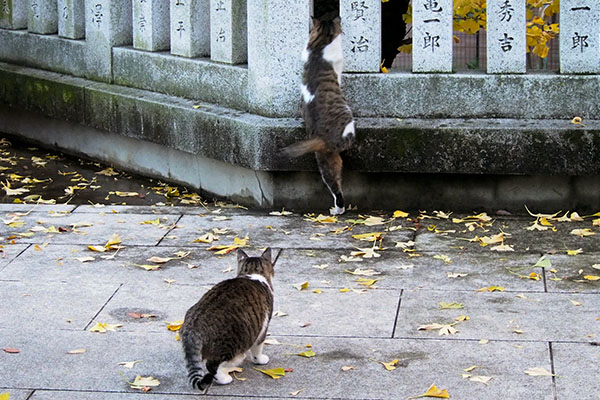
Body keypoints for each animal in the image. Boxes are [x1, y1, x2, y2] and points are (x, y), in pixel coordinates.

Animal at [282, 14, 356, 216]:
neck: (320, 44)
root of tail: (324, 138)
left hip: (325, 163)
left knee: (336, 189)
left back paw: (336, 211)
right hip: (347, 118)